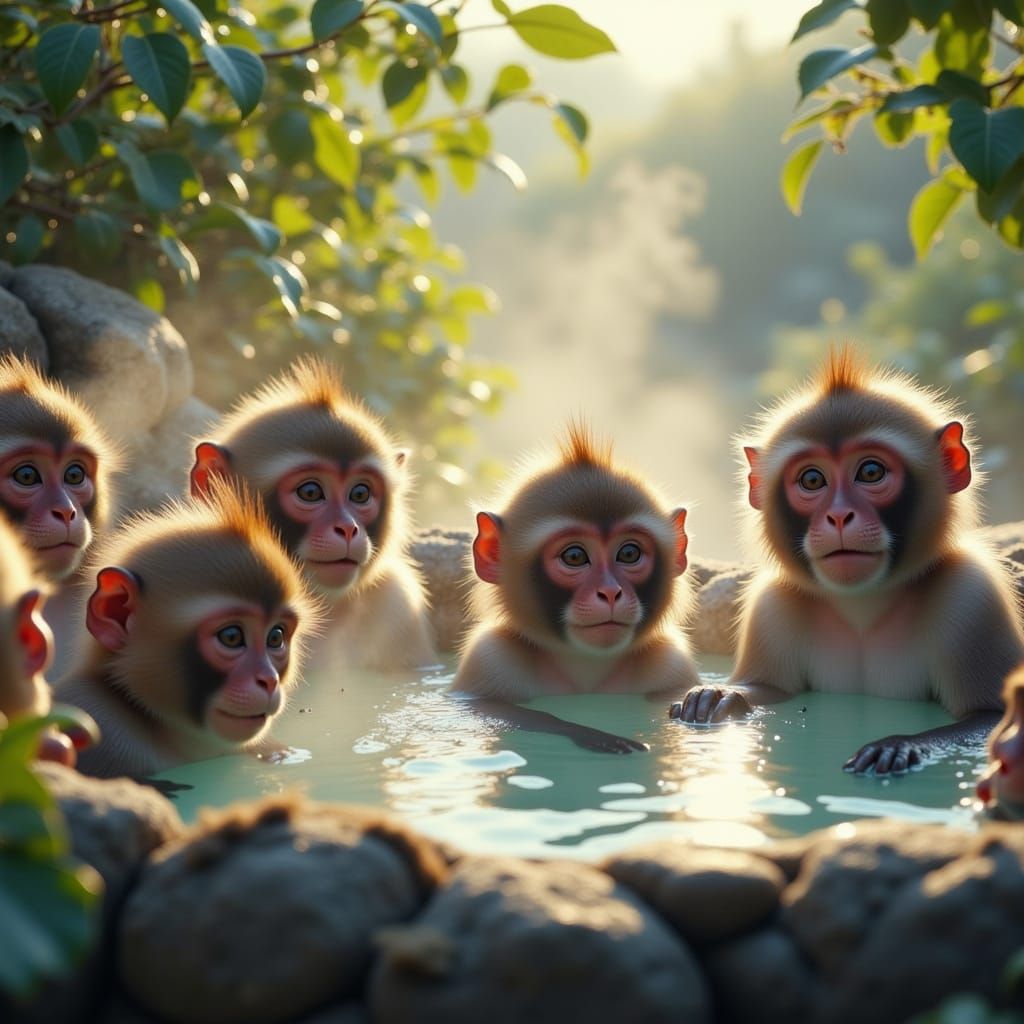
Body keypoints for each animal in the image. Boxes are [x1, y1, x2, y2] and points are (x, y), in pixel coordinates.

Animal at [451, 423, 699, 752]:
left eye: (629, 553)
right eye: (574, 556)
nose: (610, 592)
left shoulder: (672, 662)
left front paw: (712, 701)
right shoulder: (490, 659)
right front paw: (593, 734)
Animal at [670, 348, 1024, 776]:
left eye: (870, 471)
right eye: (811, 480)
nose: (838, 516)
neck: (864, 603)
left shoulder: (972, 595)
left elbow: (992, 714)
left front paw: (902, 744)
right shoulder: (774, 601)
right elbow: (770, 689)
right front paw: (719, 695)